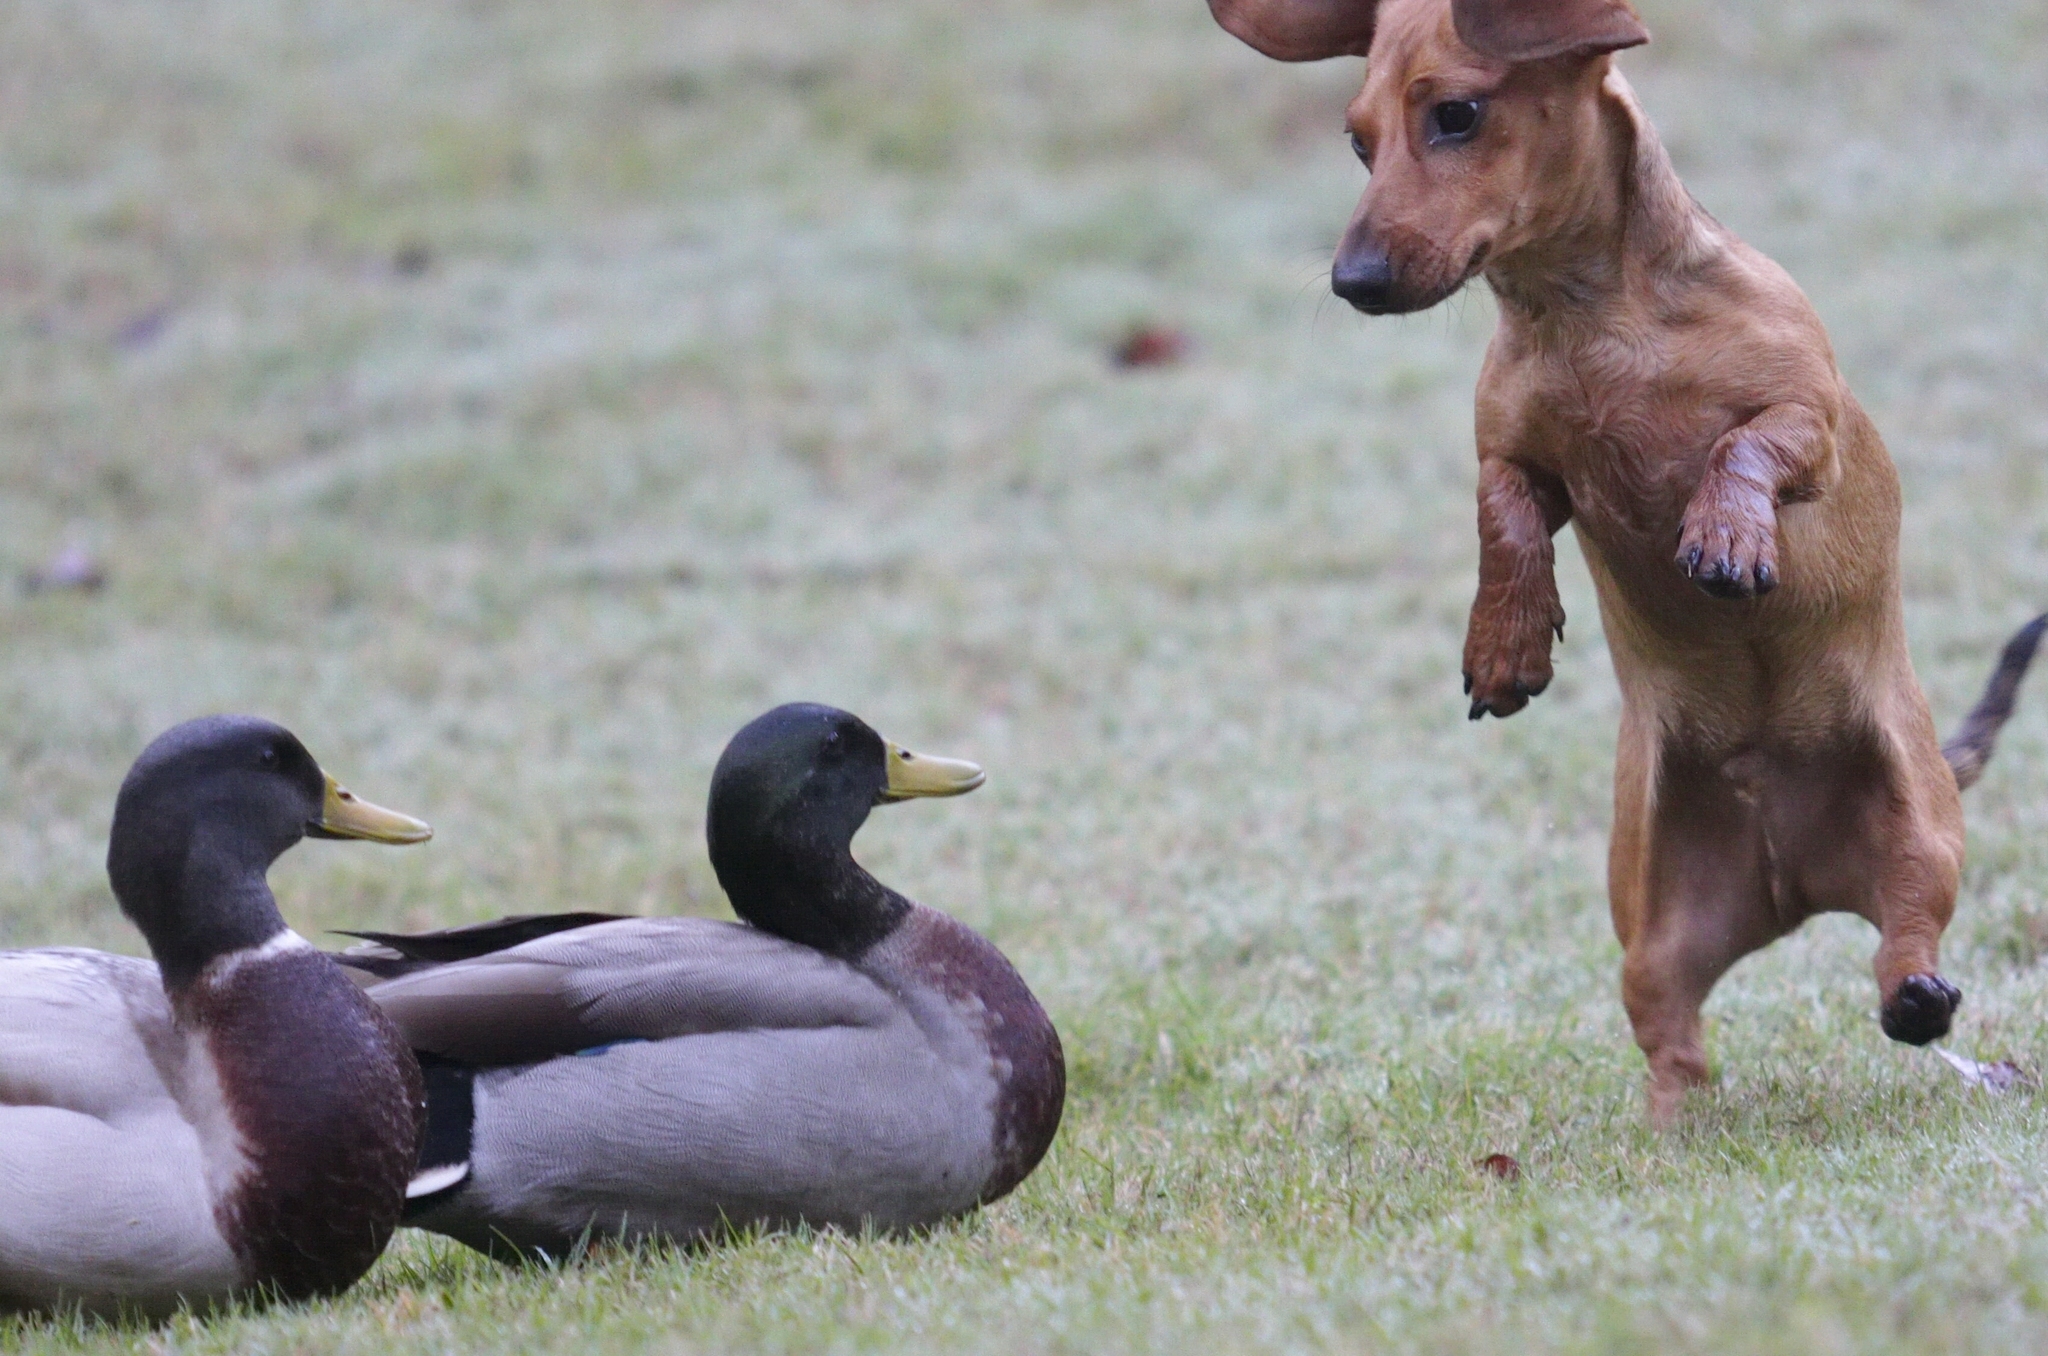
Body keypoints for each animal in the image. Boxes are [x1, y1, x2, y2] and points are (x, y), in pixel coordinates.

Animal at [1204, 0, 2039, 1122]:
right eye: (1356, 142)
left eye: (1456, 115)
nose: (1353, 283)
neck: (1588, 317)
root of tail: (1795, 881)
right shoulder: (1513, 457)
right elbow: (1502, 512)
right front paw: (1505, 640)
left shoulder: (1807, 420)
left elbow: (1745, 445)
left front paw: (1724, 532)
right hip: (1653, 914)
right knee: (1671, 1032)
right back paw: (1673, 1126)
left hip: (1918, 825)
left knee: (1907, 933)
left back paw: (1914, 995)